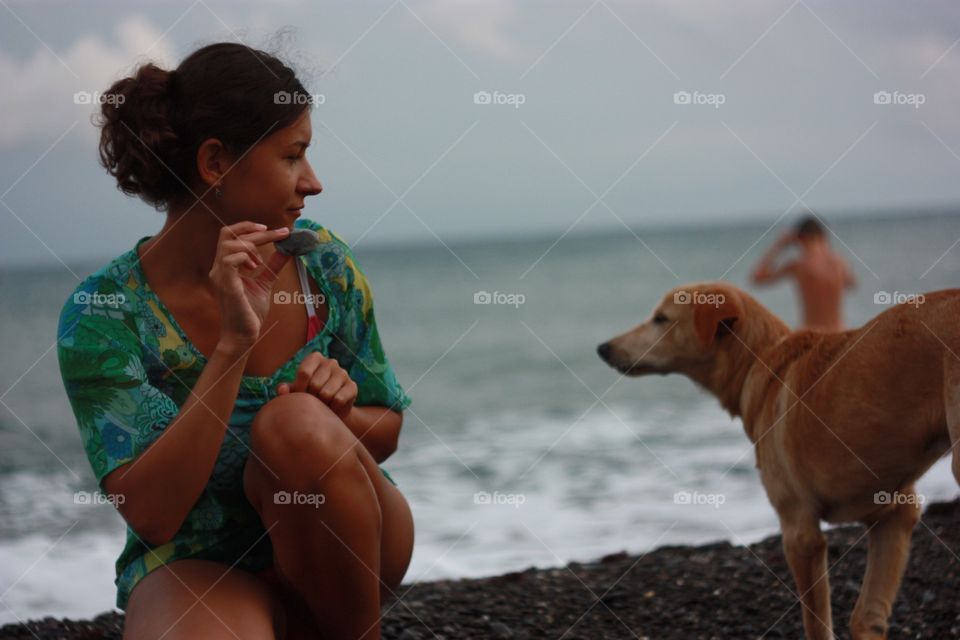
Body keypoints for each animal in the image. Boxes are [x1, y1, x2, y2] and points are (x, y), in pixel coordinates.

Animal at [596, 282, 956, 640]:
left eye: (661, 319)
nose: (603, 348)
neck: (762, 362)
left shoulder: (800, 533)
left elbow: (817, 625)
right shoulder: (894, 516)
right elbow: (867, 617)